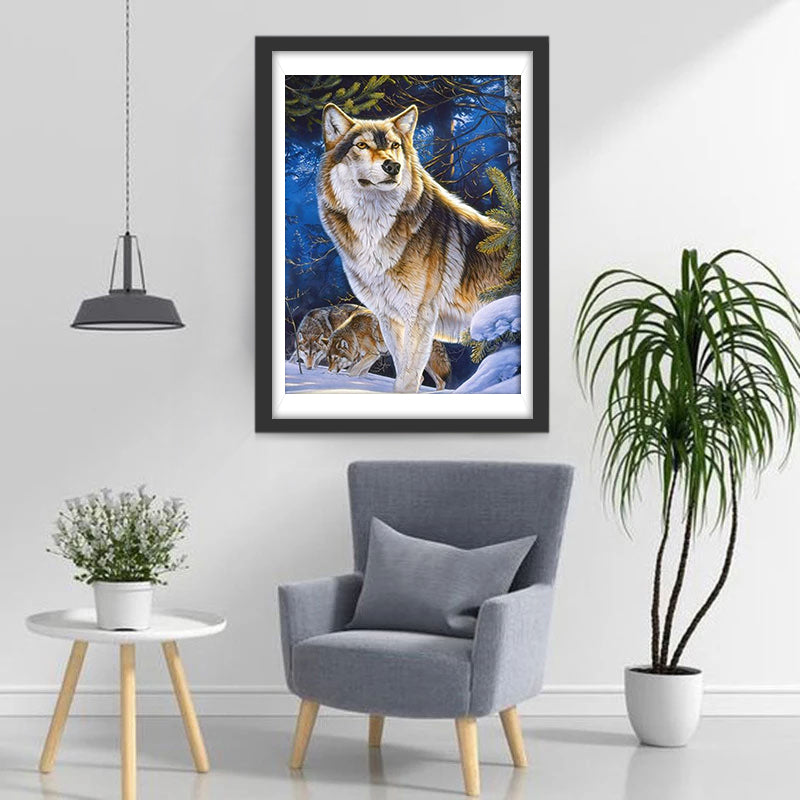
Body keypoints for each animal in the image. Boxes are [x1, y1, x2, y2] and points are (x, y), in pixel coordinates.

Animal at [317, 103, 506, 393]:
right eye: (361, 145)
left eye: (394, 145)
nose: (392, 166)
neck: (375, 230)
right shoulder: (389, 317)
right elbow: (403, 370)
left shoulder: (419, 315)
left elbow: (407, 377)